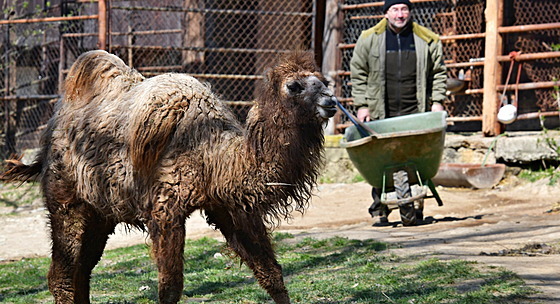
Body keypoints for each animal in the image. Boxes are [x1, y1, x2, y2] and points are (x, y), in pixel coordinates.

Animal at [0, 48, 336, 302]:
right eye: (294, 86)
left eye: (323, 81)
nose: (331, 101)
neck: (210, 153)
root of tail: (48, 139)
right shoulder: (165, 209)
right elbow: (170, 288)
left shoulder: (226, 204)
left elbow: (272, 275)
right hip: (66, 202)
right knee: (62, 275)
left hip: (100, 213)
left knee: (81, 271)